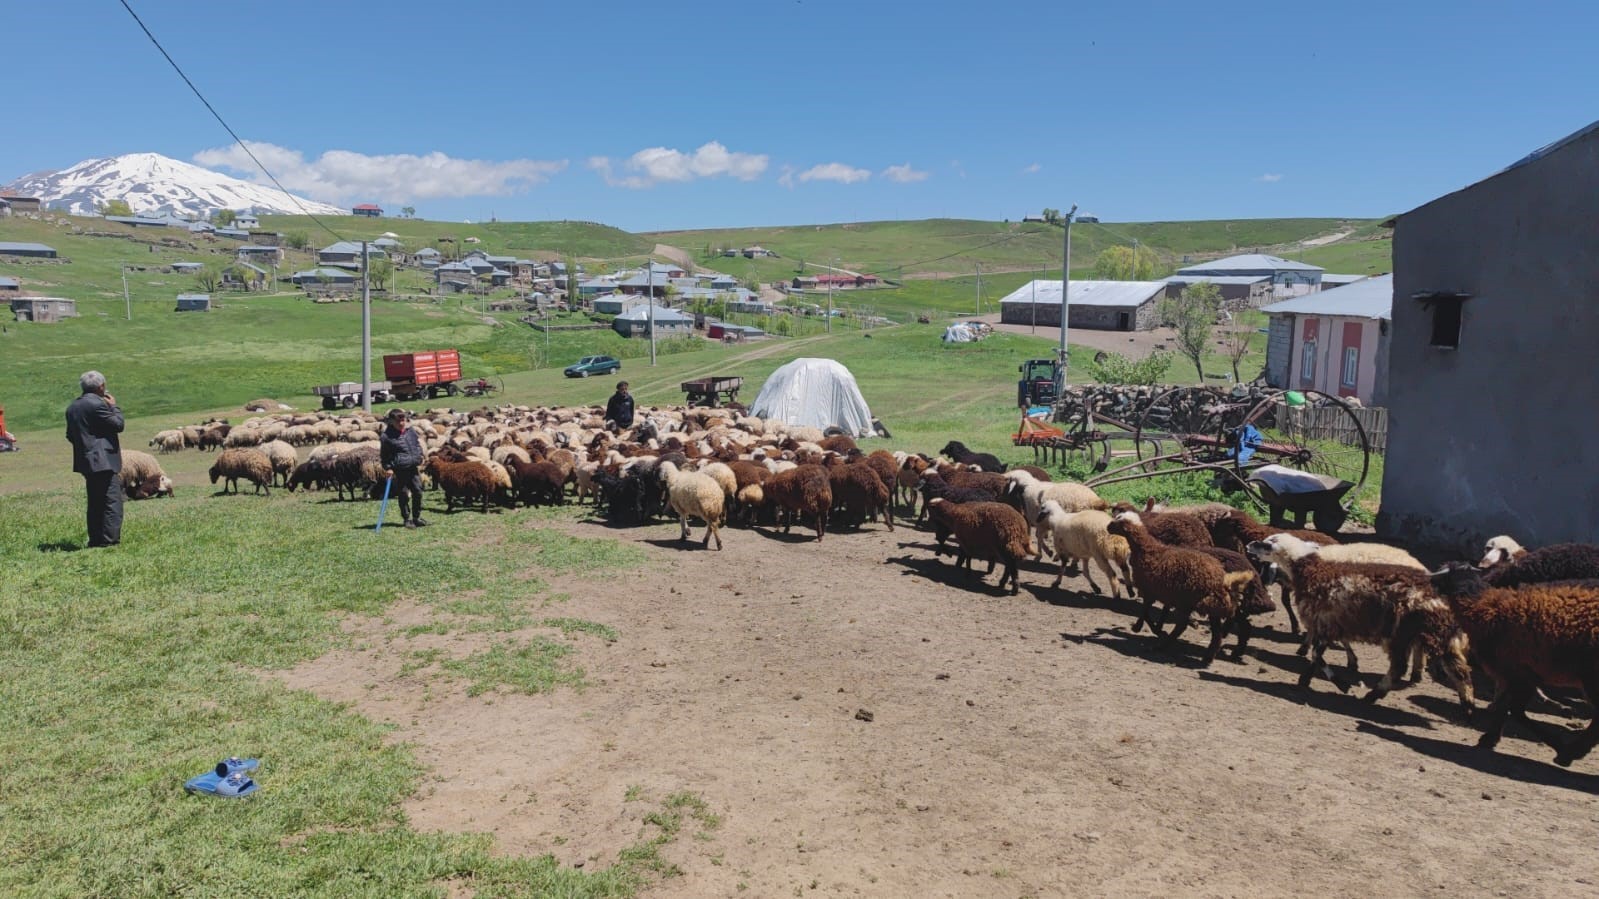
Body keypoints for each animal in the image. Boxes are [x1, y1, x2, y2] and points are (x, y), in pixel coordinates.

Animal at [1106, 508, 1253, 662]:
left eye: (1117, 521)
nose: (1107, 527)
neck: (1148, 550)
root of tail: (1222, 580)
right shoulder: (1158, 592)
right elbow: (1148, 612)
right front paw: (1150, 628)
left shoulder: (1149, 589)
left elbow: (1145, 612)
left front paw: (1142, 628)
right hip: (1207, 606)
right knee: (1217, 632)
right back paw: (1210, 657)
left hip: (1190, 601)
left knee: (1183, 626)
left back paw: (1164, 646)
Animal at [1247, 527, 1471, 710]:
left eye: (1267, 544)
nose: (1250, 546)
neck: (1310, 569)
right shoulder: (1333, 622)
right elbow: (1318, 653)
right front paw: (1307, 678)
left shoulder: (1325, 620)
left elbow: (1317, 654)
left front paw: (1340, 683)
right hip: (1436, 632)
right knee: (1458, 668)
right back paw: (1466, 704)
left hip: (1403, 633)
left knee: (1399, 667)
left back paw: (1375, 694)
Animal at [1432, 559, 1599, 761]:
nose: (1430, 583)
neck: (1484, 607)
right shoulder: (1511, 675)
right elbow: (1503, 707)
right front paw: (1489, 739)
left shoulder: (1520, 673)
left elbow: (1516, 711)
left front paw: (1557, 744)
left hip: (1591, 678)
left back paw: (1569, 754)